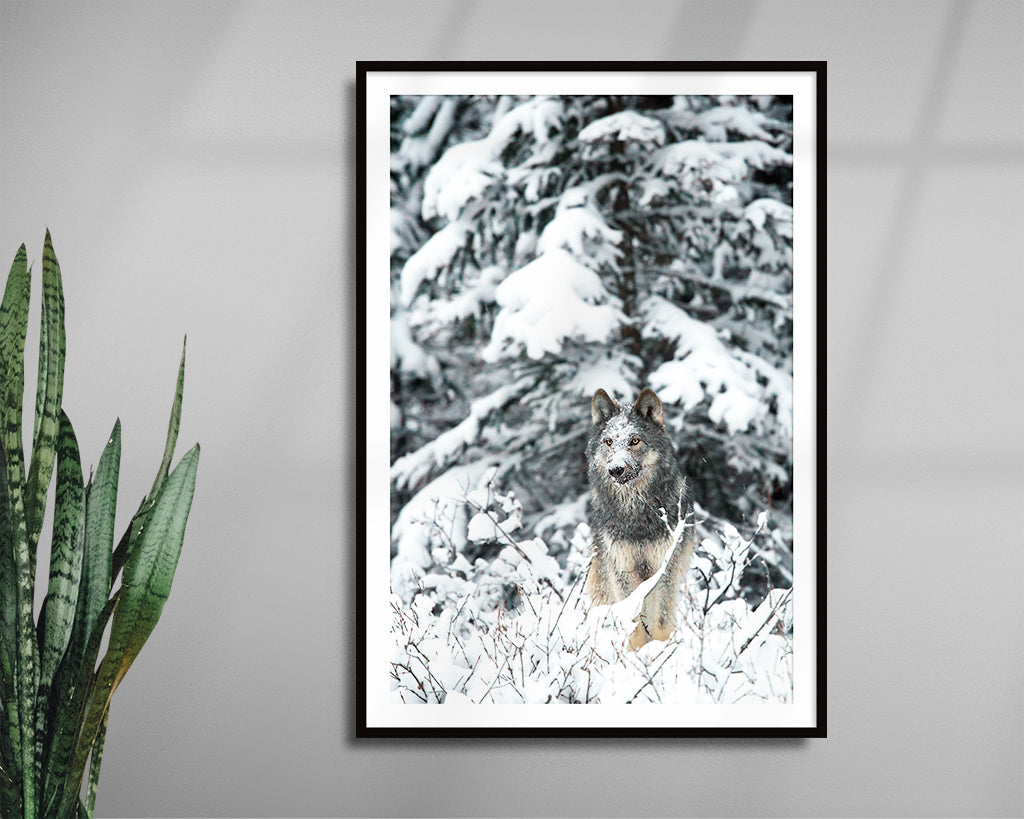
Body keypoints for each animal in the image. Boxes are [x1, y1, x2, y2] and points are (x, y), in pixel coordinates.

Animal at [584, 388, 695, 650]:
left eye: (634, 441)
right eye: (609, 442)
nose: (616, 469)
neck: (636, 516)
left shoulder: (665, 568)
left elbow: (662, 621)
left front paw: (663, 652)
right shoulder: (622, 571)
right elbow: (633, 621)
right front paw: (635, 652)